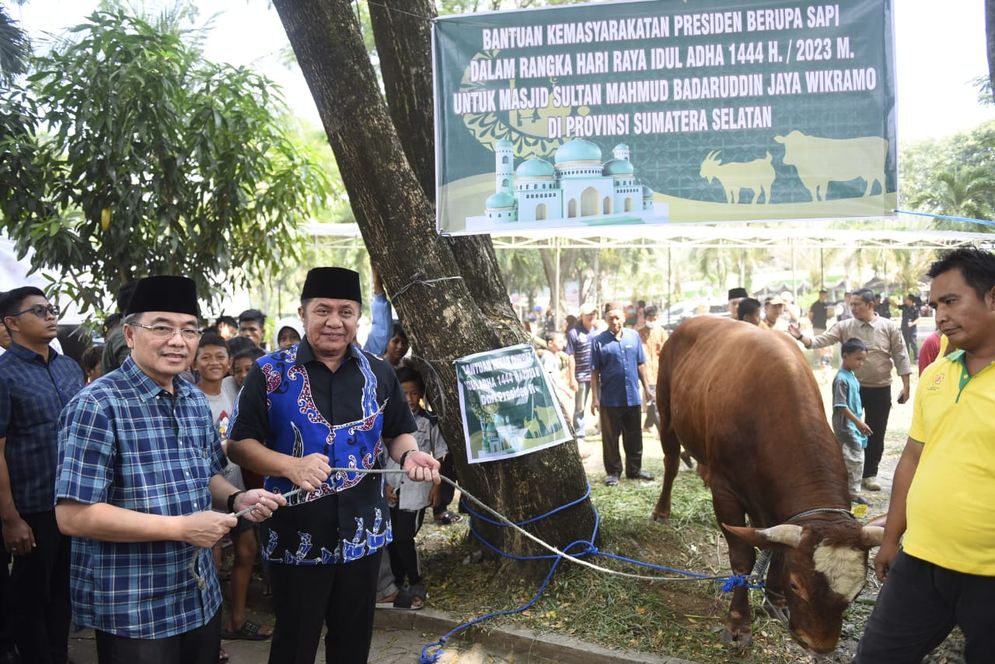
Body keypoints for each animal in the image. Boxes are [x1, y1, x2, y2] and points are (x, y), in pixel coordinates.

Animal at [656, 320, 884, 656]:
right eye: (796, 585)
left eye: (858, 591)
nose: (819, 645)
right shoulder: (726, 492)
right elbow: (742, 558)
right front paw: (738, 623)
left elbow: (775, 548)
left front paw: (775, 600)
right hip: (666, 413)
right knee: (671, 462)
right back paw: (661, 510)